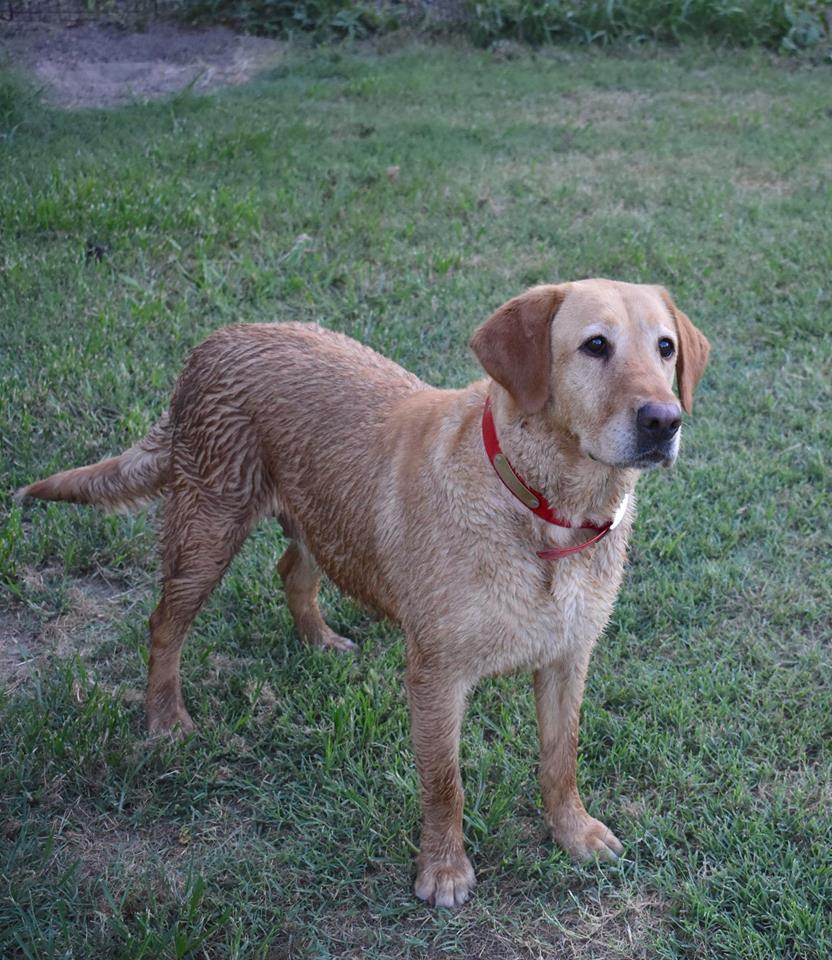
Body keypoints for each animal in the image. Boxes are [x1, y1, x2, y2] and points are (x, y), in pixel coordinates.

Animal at [19, 278, 708, 908]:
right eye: (595, 345)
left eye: (665, 348)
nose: (664, 421)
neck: (543, 509)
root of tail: (218, 339)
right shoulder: (436, 674)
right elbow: (444, 782)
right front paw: (444, 869)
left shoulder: (569, 657)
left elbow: (561, 759)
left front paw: (572, 832)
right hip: (207, 527)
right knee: (165, 623)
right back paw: (165, 717)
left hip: (320, 517)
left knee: (291, 570)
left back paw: (318, 639)